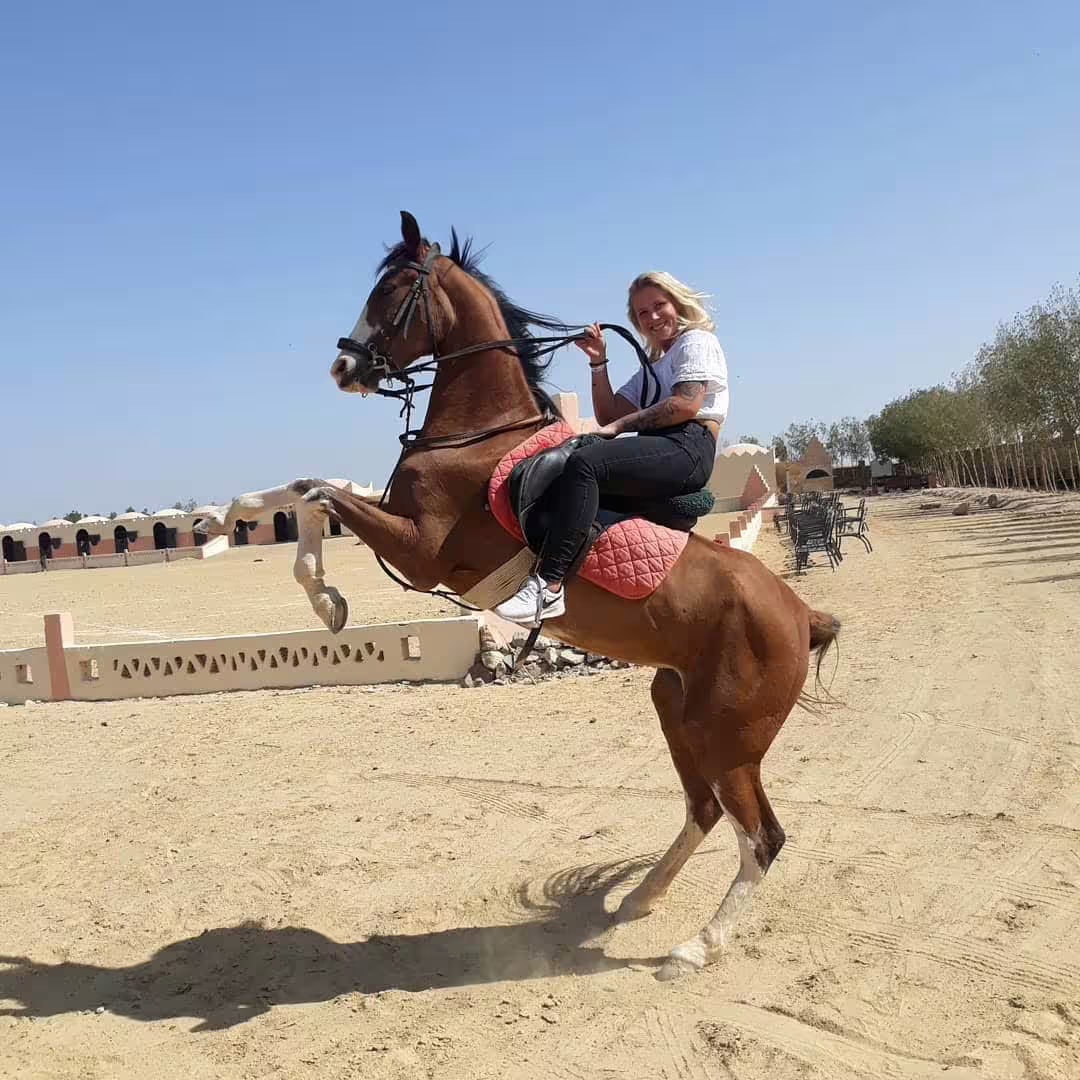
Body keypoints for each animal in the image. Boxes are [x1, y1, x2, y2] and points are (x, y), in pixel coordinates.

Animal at [202, 211, 840, 981]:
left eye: (392, 290)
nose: (344, 368)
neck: (476, 436)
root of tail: (800, 613)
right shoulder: (398, 526)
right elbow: (306, 487)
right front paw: (223, 526)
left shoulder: (419, 550)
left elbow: (320, 494)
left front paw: (324, 598)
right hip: (679, 710)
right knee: (705, 810)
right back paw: (641, 899)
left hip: (731, 737)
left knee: (762, 836)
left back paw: (694, 948)